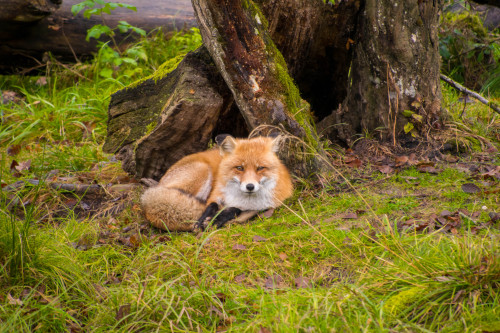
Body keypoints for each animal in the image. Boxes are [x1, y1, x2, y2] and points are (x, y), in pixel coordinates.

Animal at [141, 135, 292, 231]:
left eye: (260, 168)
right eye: (239, 168)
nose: (250, 186)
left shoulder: (261, 205)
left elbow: (234, 209)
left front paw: (217, 219)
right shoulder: (214, 194)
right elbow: (211, 205)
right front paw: (205, 218)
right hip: (202, 171)